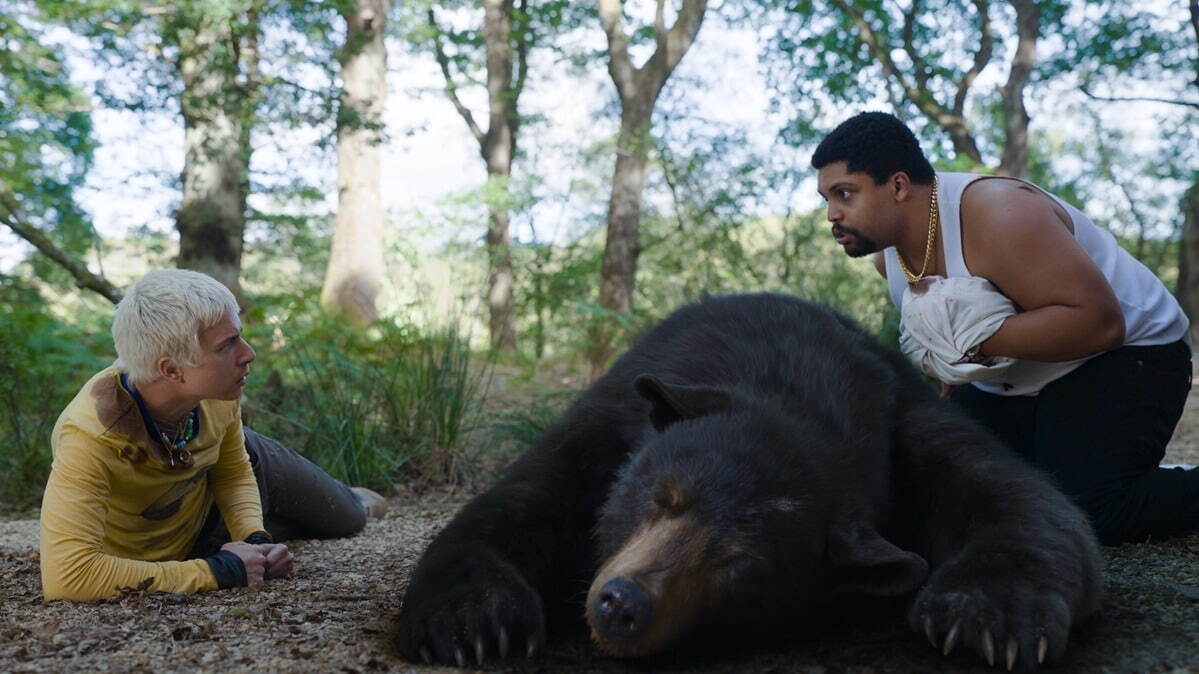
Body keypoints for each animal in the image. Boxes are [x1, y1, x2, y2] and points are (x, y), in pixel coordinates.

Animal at [398, 292, 1098, 666]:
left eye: (739, 564)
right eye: (662, 498)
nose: (622, 604)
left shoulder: (904, 417)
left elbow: (1024, 500)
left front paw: (988, 616)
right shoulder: (613, 416)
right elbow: (525, 499)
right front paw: (474, 621)